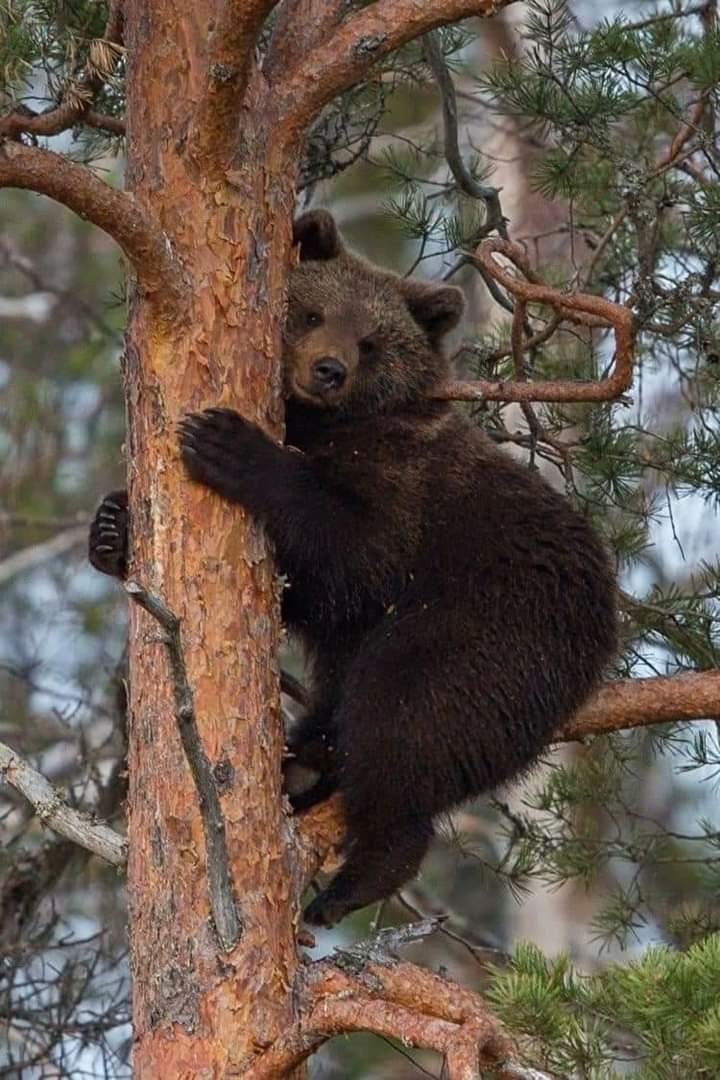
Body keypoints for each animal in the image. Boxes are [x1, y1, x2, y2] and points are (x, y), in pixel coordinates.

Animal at [89, 209, 618, 928]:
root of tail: (605, 638)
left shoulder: (403, 486)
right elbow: (301, 589)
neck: (324, 425)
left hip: (488, 632)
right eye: (313, 313)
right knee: (344, 707)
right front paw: (112, 527)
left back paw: (355, 876)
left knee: (404, 720)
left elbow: (354, 555)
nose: (328, 369)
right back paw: (305, 766)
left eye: (371, 341)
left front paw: (228, 443)